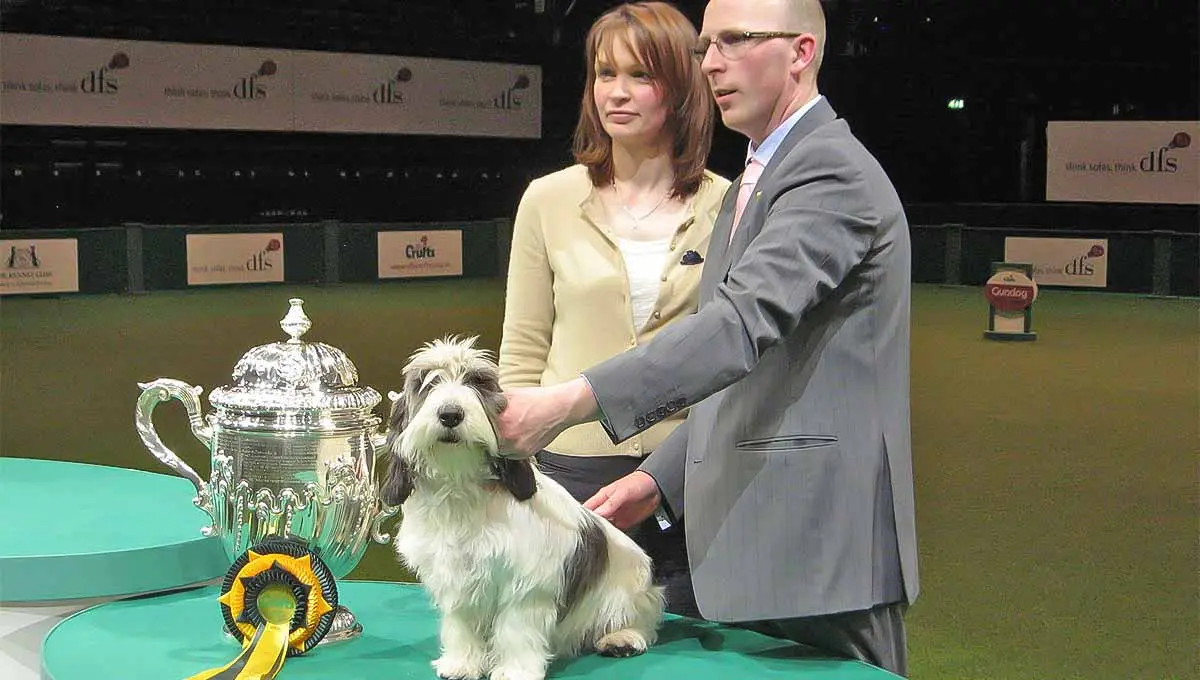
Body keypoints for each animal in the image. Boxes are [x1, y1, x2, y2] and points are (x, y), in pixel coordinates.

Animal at [379, 335, 667, 680]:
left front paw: (515, 670)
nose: (450, 414)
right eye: (427, 383)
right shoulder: (455, 578)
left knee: (640, 620)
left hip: (632, 590)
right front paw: (462, 663)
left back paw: (622, 638)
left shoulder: (526, 583)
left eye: (478, 382)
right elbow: (461, 624)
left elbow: (516, 628)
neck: (462, 484)